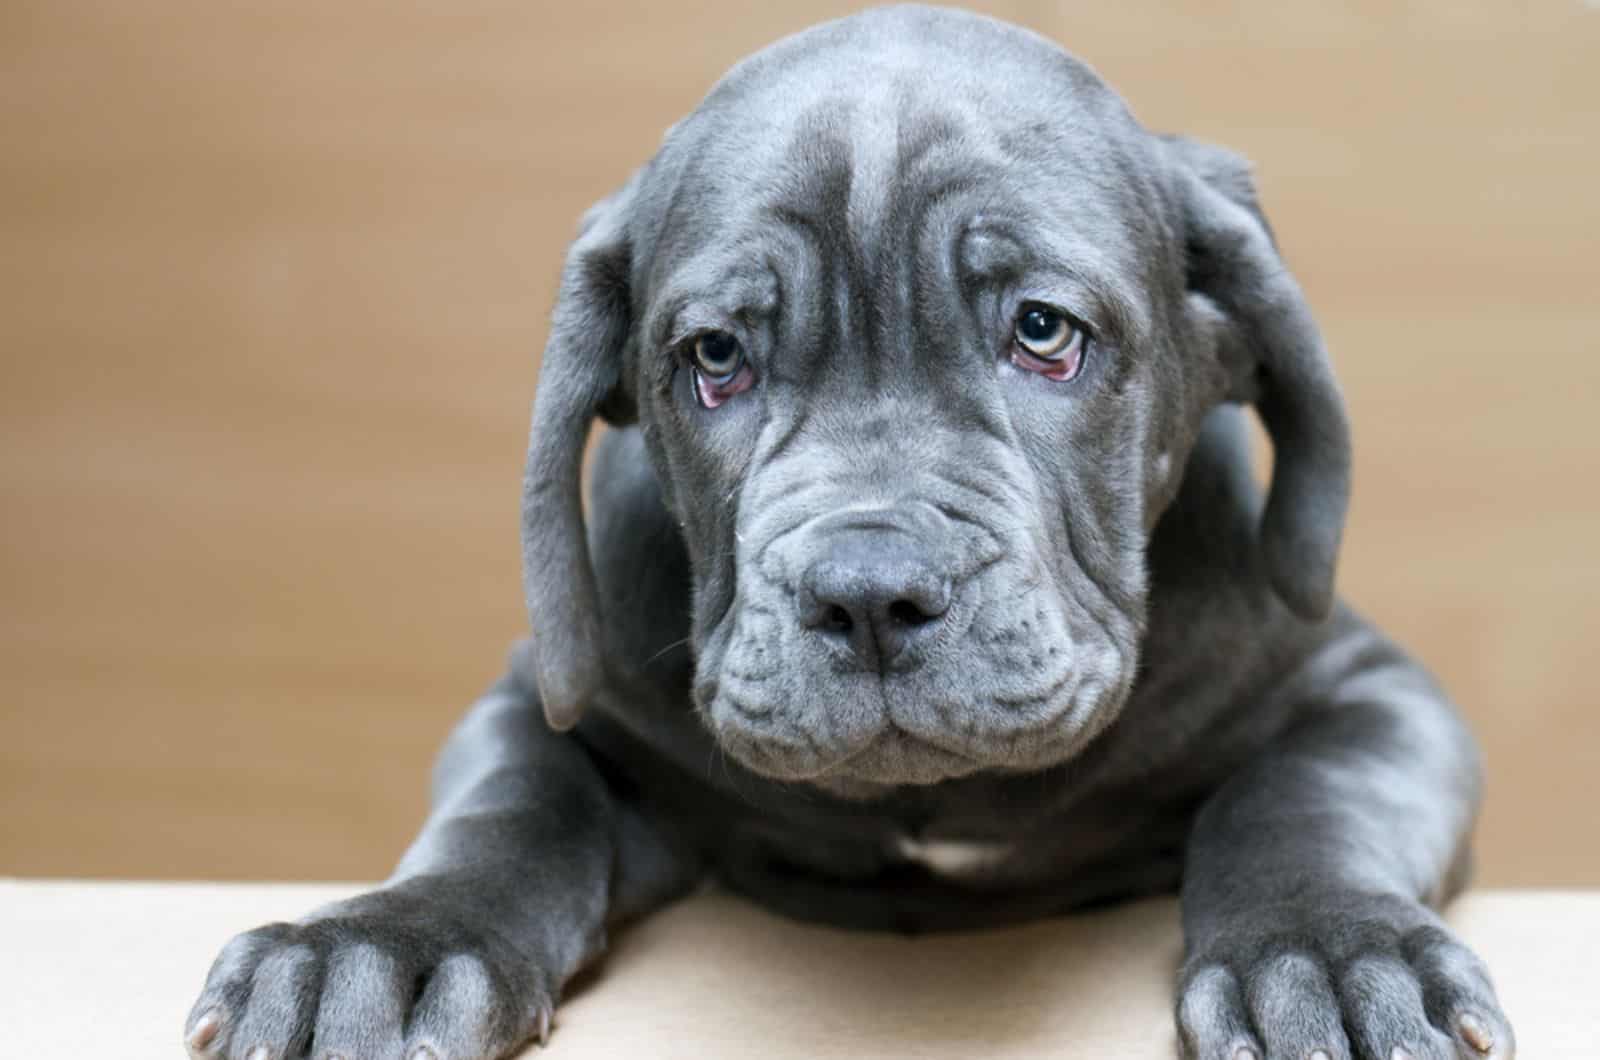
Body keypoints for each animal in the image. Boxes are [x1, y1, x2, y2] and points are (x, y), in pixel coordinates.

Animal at [187, 8, 1510, 1060]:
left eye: (1044, 331)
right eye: (717, 356)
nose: (869, 592)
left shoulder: (1371, 690)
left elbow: (1306, 795)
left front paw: (1329, 955)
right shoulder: (547, 704)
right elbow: (513, 802)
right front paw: (382, 948)